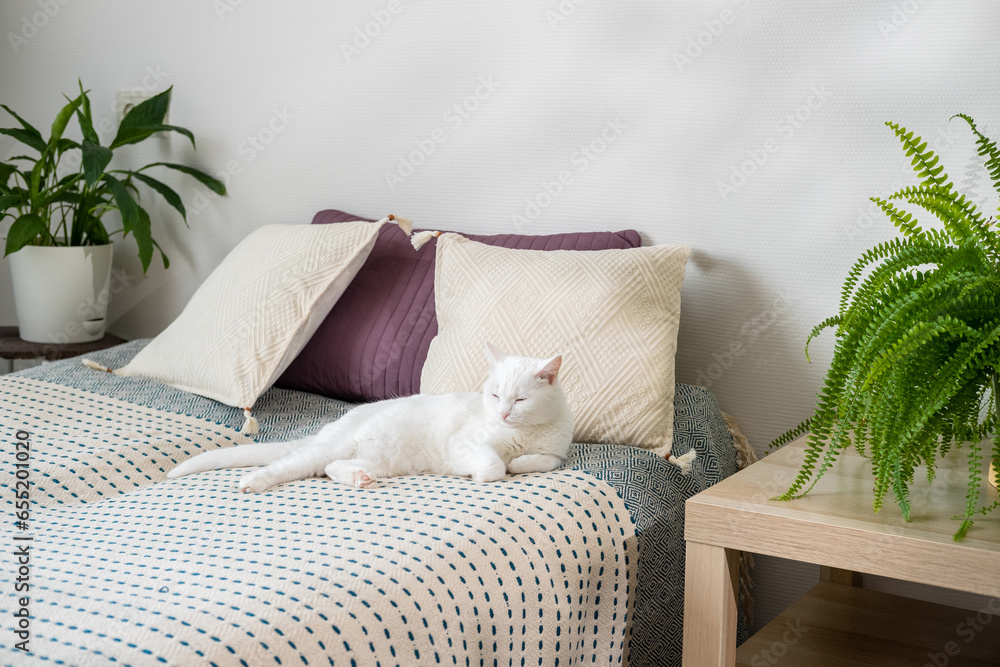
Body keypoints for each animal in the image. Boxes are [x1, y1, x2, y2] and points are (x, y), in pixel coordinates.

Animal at [168, 344, 576, 496]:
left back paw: (360, 478)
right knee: (292, 466)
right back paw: (251, 482)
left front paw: (520, 463)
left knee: (332, 468)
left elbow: (544, 461)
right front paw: (494, 469)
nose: (503, 412)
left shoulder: (557, 452)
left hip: (383, 459)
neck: (522, 433)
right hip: (329, 448)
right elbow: (493, 466)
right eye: (494, 396)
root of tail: (331, 428)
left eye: (519, 399)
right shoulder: (465, 444)